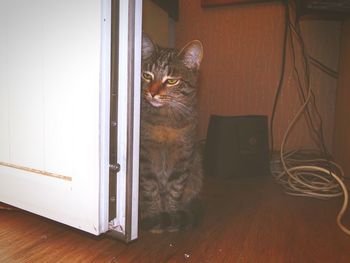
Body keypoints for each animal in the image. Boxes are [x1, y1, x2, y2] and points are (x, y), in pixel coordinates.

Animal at [139, 34, 204, 234]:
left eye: (171, 81)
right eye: (146, 75)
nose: (152, 93)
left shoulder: (184, 156)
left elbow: (175, 189)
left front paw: (171, 216)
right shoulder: (144, 156)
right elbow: (150, 188)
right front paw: (155, 217)